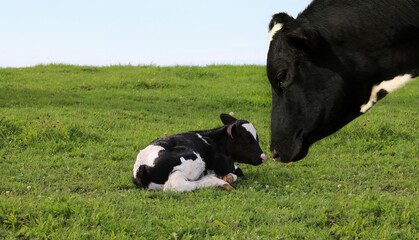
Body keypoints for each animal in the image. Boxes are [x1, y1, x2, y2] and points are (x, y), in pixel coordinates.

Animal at [133, 113, 268, 192]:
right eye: (248, 140)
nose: (264, 157)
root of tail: (141, 165)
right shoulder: (226, 165)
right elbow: (238, 173)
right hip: (192, 161)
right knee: (176, 185)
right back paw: (219, 182)